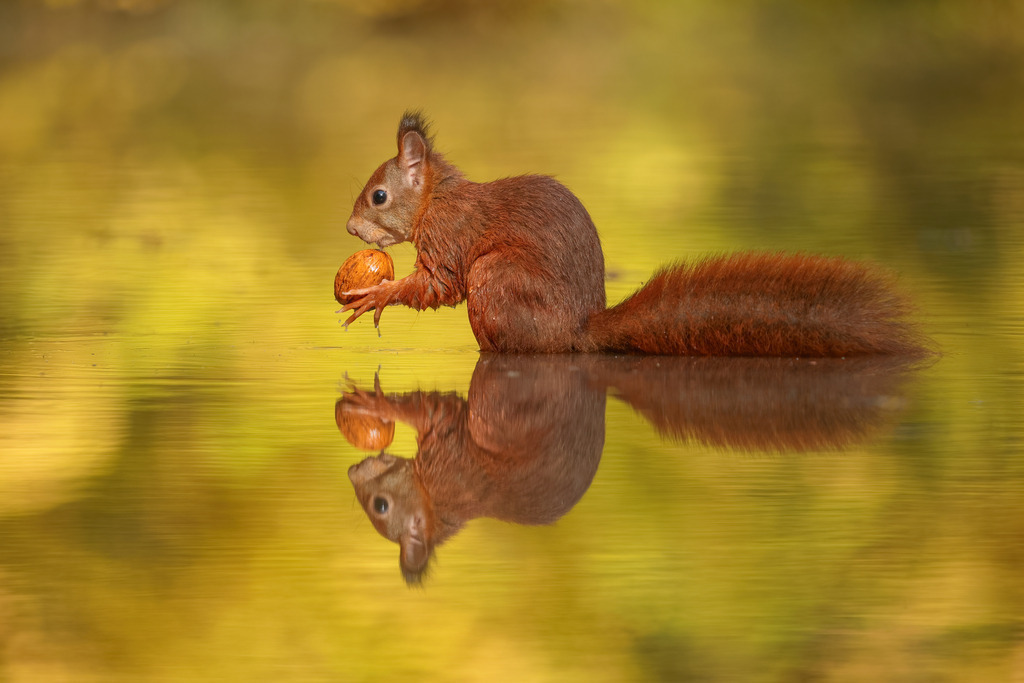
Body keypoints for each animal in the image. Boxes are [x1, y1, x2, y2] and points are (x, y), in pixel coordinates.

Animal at [342, 111, 928, 357]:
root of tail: (579, 331)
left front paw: (377, 293)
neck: (434, 201)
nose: (349, 227)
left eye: (378, 196)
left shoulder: (451, 241)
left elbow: (437, 286)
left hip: (497, 279)